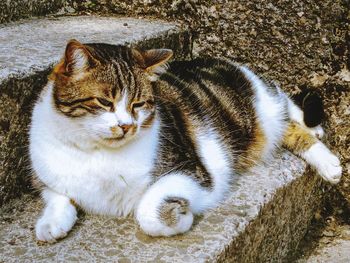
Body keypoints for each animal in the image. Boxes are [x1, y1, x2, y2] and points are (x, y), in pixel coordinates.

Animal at [29, 39, 342, 243]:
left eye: (138, 104)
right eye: (104, 102)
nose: (126, 126)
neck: (96, 151)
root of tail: (221, 60)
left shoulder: (192, 170)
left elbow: (147, 210)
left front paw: (180, 217)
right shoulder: (46, 175)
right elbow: (57, 195)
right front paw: (50, 224)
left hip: (263, 106)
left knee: (288, 110)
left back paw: (326, 157)